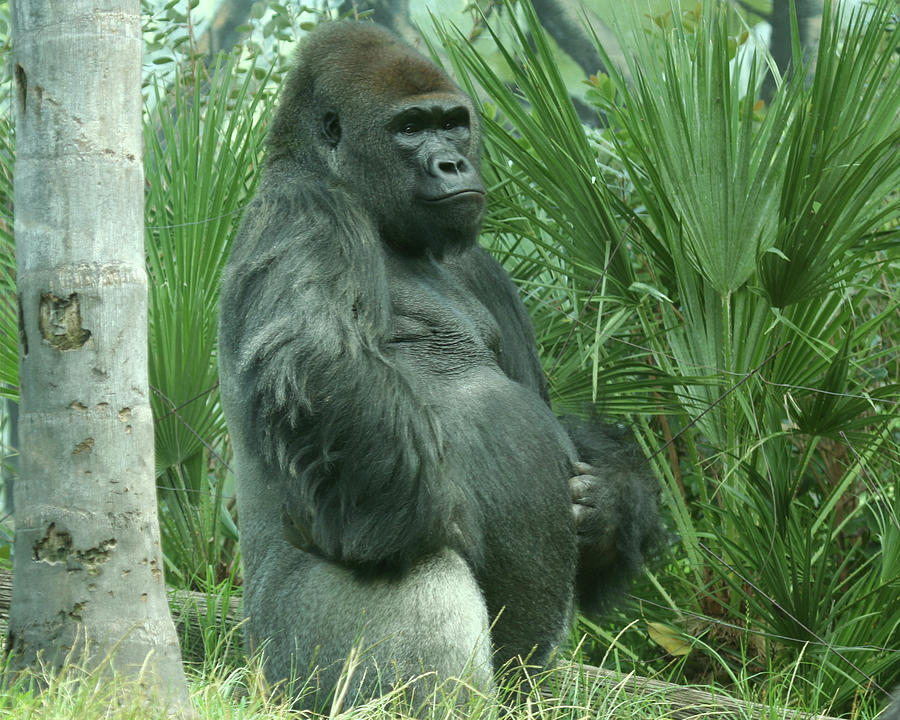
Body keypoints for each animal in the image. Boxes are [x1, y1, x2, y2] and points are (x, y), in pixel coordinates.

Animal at [218, 19, 660, 712]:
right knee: (425, 581)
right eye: (408, 128)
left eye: (452, 124)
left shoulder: (481, 267)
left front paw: (611, 502)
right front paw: (454, 507)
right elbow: (317, 364)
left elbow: (539, 400)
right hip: (285, 665)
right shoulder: (306, 208)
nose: (452, 163)